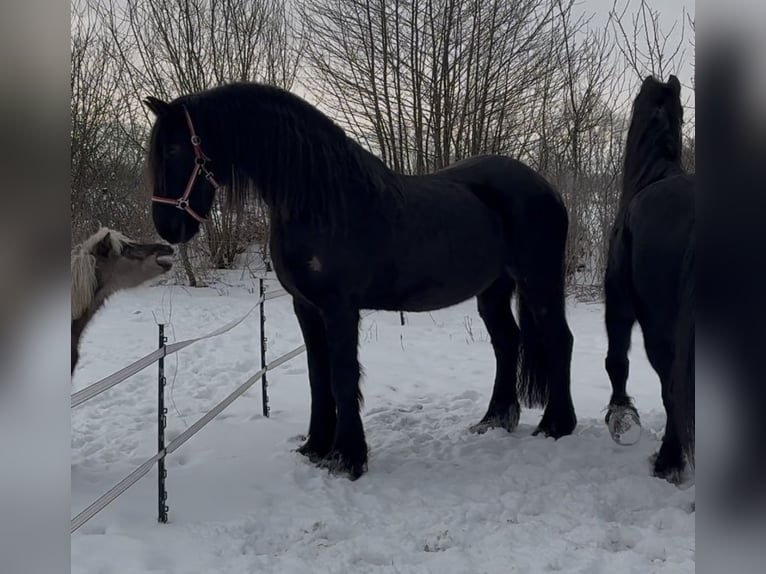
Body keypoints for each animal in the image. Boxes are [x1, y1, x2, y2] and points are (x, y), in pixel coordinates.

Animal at [142, 82, 577, 479]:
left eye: (174, 150)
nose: (168, 227)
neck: (321, 203)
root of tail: (546, 188)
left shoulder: (340, 309)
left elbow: (343, 375)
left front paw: (347, 458)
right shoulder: (306, 307)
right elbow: (319, 376)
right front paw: (316, 447)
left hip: (539, 280)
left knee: (558, 339)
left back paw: (556, 426)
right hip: (493, 289)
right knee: (506, 341)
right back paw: (495, 420)